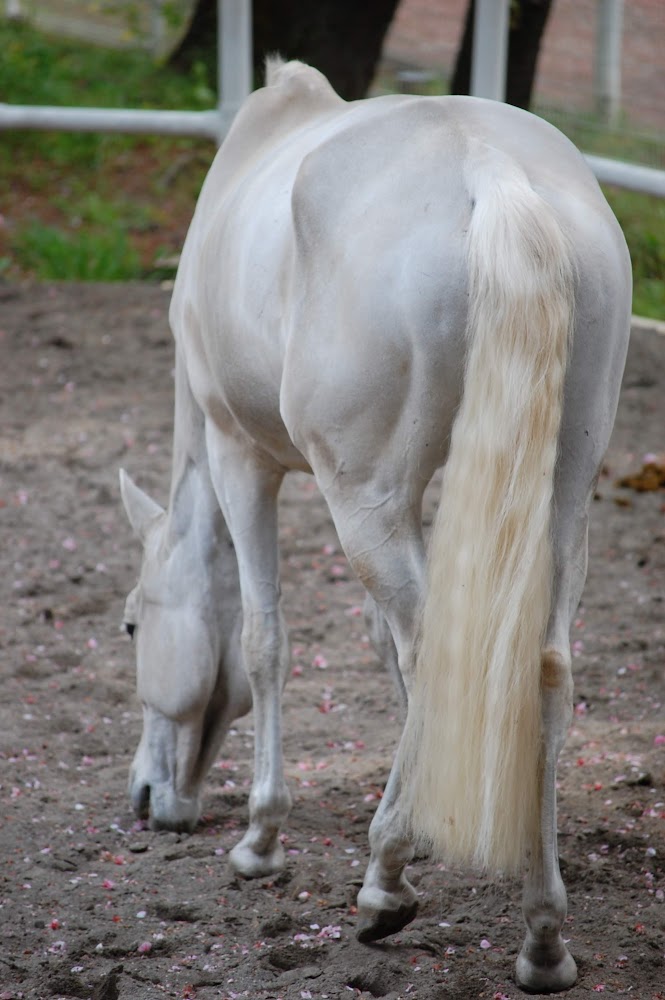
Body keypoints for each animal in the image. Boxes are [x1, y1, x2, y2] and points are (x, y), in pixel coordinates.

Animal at [119, 62, 632, 992]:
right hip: (554, 496)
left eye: (133, 624)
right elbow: (386, 653)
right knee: (535, 669)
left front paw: (262, 840)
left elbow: (264, 640)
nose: (147, 799)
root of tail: (487, 170)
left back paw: (383, 881)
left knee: (437, 655)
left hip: (364, 500)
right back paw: (540, 937)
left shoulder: (240, 456)